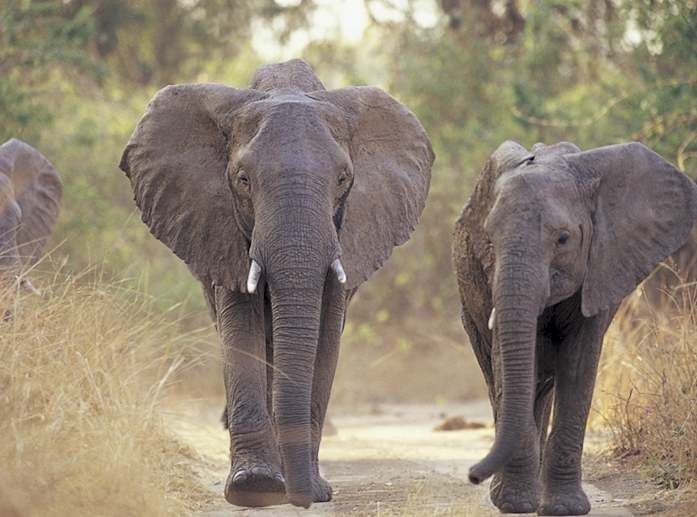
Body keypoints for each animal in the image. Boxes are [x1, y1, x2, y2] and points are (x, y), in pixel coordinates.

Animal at [119, 59, 433, 508]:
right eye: (243, 180)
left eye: (343, 179)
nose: (304, 498)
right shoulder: (221, 226)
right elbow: (241, 331)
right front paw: (256, 488)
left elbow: (325, 339)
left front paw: (312, 490)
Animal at [452, 140, 697, 515]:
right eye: (489, 241)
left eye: (564, 239)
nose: (472, 475)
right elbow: (512, 363)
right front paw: (515, 504)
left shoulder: (604, 263)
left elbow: (579, 364)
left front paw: (565, 508)